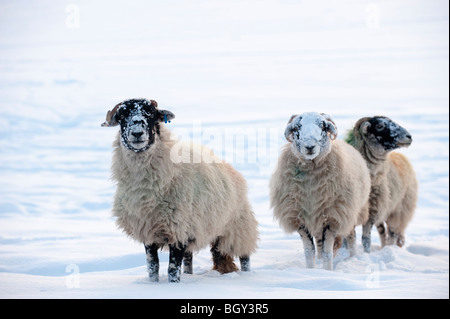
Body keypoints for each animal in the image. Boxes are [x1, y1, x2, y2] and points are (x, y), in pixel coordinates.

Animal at [100, 99, 258, 284]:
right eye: (122, 116)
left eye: (151, 114)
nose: (137, 133)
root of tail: (234, 171)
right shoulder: (149, 231)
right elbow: (152, 267)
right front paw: (153, 285)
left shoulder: (178, 230)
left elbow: (172, 270)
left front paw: (173, 286)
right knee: (189, 260)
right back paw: (189, 274)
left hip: (238, 227)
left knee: (244, 257)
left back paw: (246, 274)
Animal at [268, 114, 370, 272]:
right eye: (296, 128)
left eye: (323, 126)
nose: (310, 147)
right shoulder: (301, 219)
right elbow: (309, 252)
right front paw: (311, 271)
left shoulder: (333, 218)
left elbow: (328, 253)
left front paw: (327, 272)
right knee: (320, 244)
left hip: (350, 212)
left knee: (351, 237)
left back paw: (352, 258)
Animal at [344, 116, 418, 254]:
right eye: (379, 126)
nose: (409, 136)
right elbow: (349, 239)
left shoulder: (372, 213)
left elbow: (365, 239)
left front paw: (366, 253)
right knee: (382, 232)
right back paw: (384, 247)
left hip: (399, 210)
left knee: (393, 233)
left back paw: (390, 248)